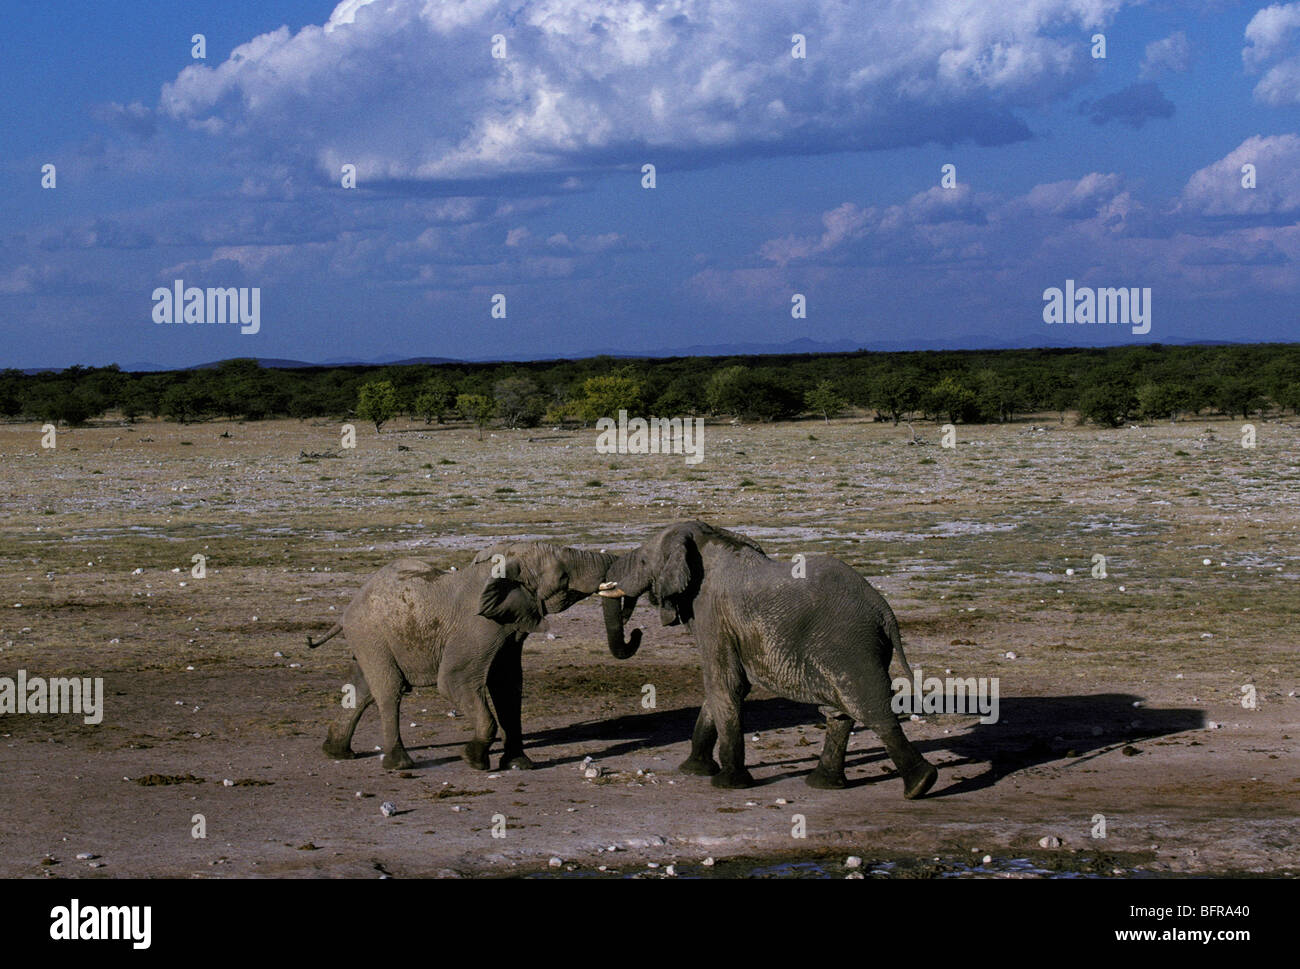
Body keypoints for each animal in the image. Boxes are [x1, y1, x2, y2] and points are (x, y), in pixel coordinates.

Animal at [307, 541, 639, 772]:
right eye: (562, 575)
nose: (636, 632)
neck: (503, 564)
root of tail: (345, 612)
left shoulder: (508, 629)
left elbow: (508, 687)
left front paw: (519, 765)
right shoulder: (478, 627)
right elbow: (456, 682)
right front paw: (474, 760)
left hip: (370, 640)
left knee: (362, 689)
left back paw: (336, 752)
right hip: (371, 635)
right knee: (389, 691)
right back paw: (400, 765)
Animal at [597, 520, 938, 800]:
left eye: (643, 561)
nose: (636, 630)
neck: (706, 540)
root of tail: (884, 610)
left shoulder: (712, 615)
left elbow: (724, 684)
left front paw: (727, 784)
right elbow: (725, 689)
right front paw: (693, 770)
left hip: (850, 644)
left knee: (869, 707)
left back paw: (921, 785)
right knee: (840, 712)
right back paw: (824, 784)